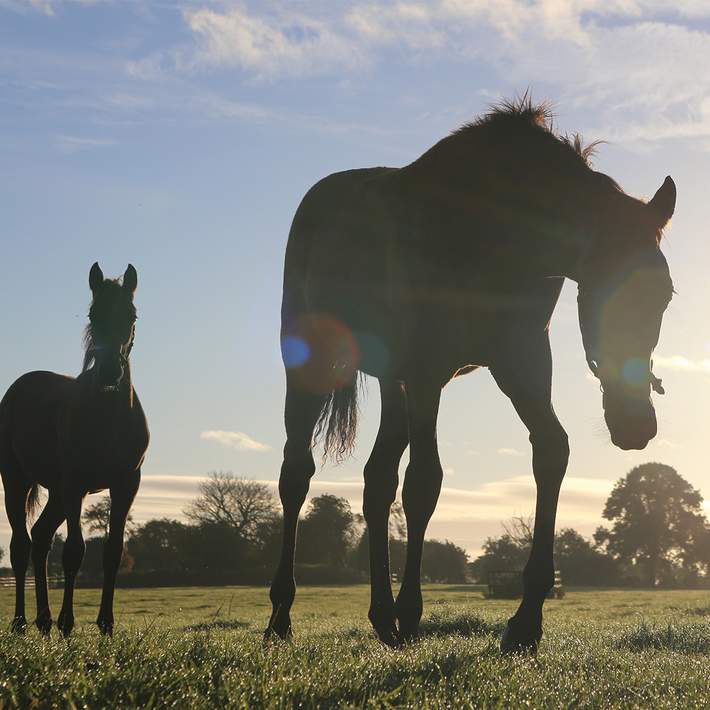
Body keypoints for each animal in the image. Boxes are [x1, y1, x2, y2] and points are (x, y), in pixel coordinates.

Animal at [0, 264, 148, 636]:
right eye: (94, 314)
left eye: (131, 315)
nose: (109, 371)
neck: (108, 419)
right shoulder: (76, 484)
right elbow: (74, 552)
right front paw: (68, 624)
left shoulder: (126, 485)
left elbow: (112, 552)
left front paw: (106, 624)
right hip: (19, 480)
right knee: (21, 546)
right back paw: (22, 623)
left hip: (57, 492)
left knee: (40, 539)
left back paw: (43, 620)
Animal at [268, 97, 680, 652]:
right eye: (604, 291)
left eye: (665, 295)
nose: (635, 425)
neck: (492, 236)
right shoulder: (428, 371)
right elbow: (424, 483)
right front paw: (414, 614)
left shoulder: (522, 361)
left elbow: (552, 453)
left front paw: (526, 621)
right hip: (313, 365)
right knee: (296, 475)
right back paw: (282, 616)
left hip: (393, 381)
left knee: (377, 483)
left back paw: (381, 617)